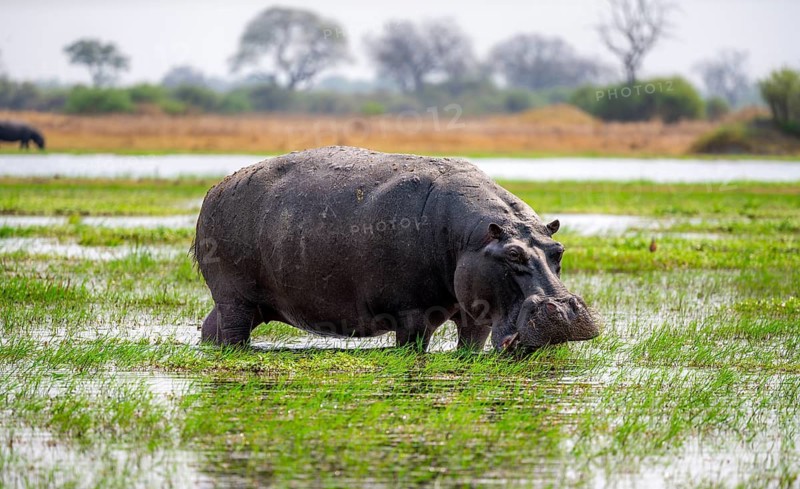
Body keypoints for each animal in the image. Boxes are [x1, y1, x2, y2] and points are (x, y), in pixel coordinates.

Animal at [193, 146, 599, 352]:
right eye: (513, 255)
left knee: (210, 328)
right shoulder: (413, 314)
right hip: (236, 299)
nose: (565, 311)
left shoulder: (476, 316)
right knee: (233, 334)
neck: (475, 239)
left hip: (249, 304)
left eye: (558, 250)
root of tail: (214, 189)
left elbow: (470, 346)